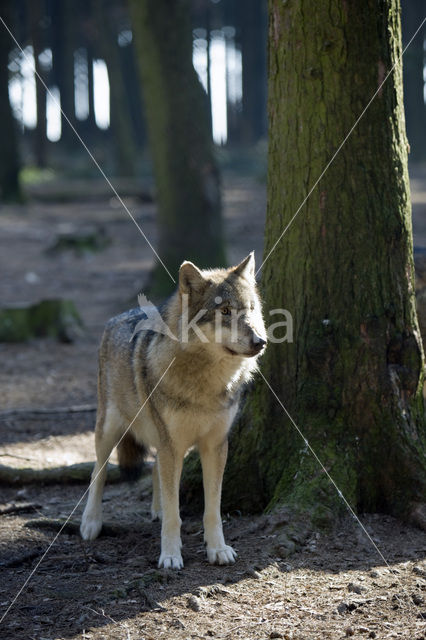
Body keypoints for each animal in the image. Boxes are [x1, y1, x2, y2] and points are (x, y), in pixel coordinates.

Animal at [80, 252, 266, 568]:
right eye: (225, 311)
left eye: (251, 310)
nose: (261, 341)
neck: (206, 383)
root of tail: (119, 316)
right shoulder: (173, 443)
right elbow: (174, 513)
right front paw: (170, 554)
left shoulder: (215, 445)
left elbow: (212, 510)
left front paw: (217, 549)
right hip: (109, 430)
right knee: (98, 472)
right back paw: (91, 522)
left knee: (155, 467)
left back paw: (154, 509)